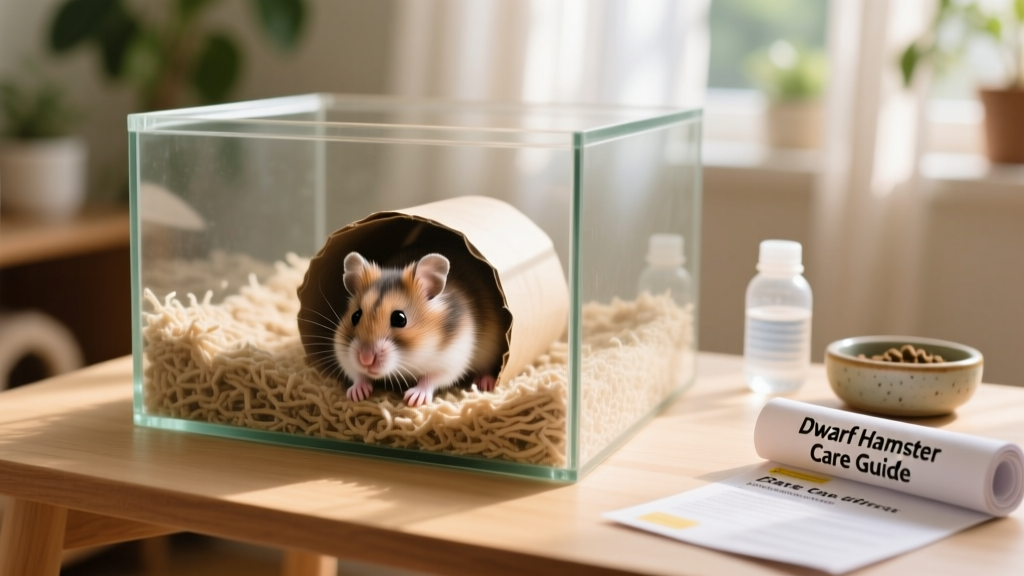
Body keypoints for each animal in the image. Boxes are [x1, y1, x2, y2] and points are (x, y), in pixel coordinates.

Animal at [334, 251, 505, 407]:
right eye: (355, 316)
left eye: (400, 319)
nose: (365, 359)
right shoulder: (344, 353)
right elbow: (357, 374)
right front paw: (356, 395)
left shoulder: (451, 360)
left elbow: (430, 378)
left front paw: (413, 400)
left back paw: (486, 383)